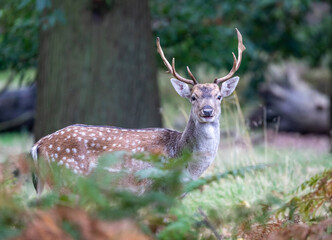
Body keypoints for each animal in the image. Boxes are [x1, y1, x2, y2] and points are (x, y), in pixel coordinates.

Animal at [31, 28, 244, 193]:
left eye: (219, 96)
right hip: (68, 178)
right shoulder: (149, 187)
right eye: (193, 97)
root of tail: (38, 145)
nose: (207, 111)